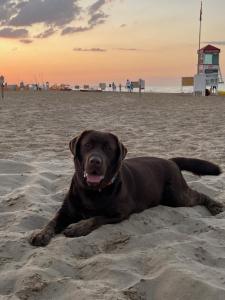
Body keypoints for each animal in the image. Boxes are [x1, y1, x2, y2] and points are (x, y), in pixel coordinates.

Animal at [29, 129, 223, 246]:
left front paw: (78, 227)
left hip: (176, 196)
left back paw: (215, 205)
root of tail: (170, 160)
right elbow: (52, 221)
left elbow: (96, 217)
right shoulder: (65, 211)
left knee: (199, 195)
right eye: (87, 145)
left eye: (108, 148)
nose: (95, 161)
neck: (92, 191)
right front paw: (41, 234)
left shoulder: (119, 213)